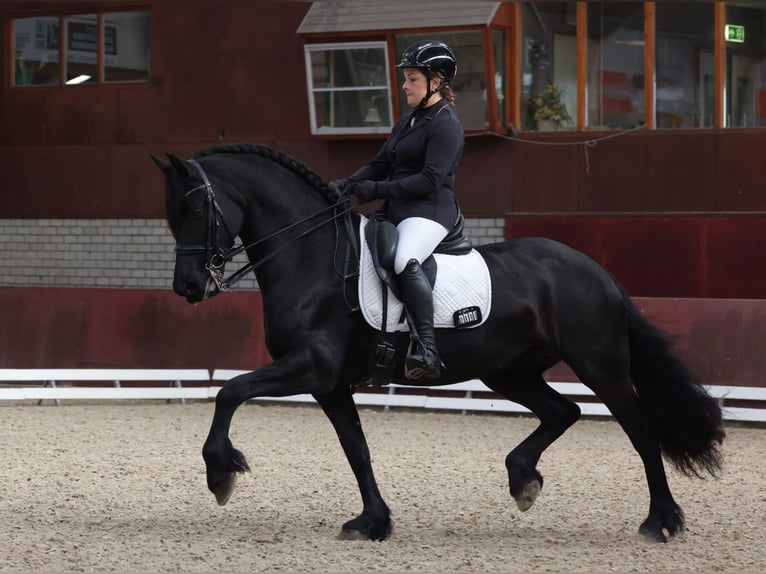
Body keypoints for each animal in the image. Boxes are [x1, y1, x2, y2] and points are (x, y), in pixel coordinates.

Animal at [151, 143, 724, 543]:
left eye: (193, 209)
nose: (188, 287)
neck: (310, 255)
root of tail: (597, 271)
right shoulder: (330, 384)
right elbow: (356, 449)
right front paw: (373, 522)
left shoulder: (312, 367)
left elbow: (229, 391)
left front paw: (220, 473)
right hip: (508, 370)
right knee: (563, 411)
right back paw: (523, 480)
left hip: (599, 364)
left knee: (640, 431)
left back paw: (660, 522)